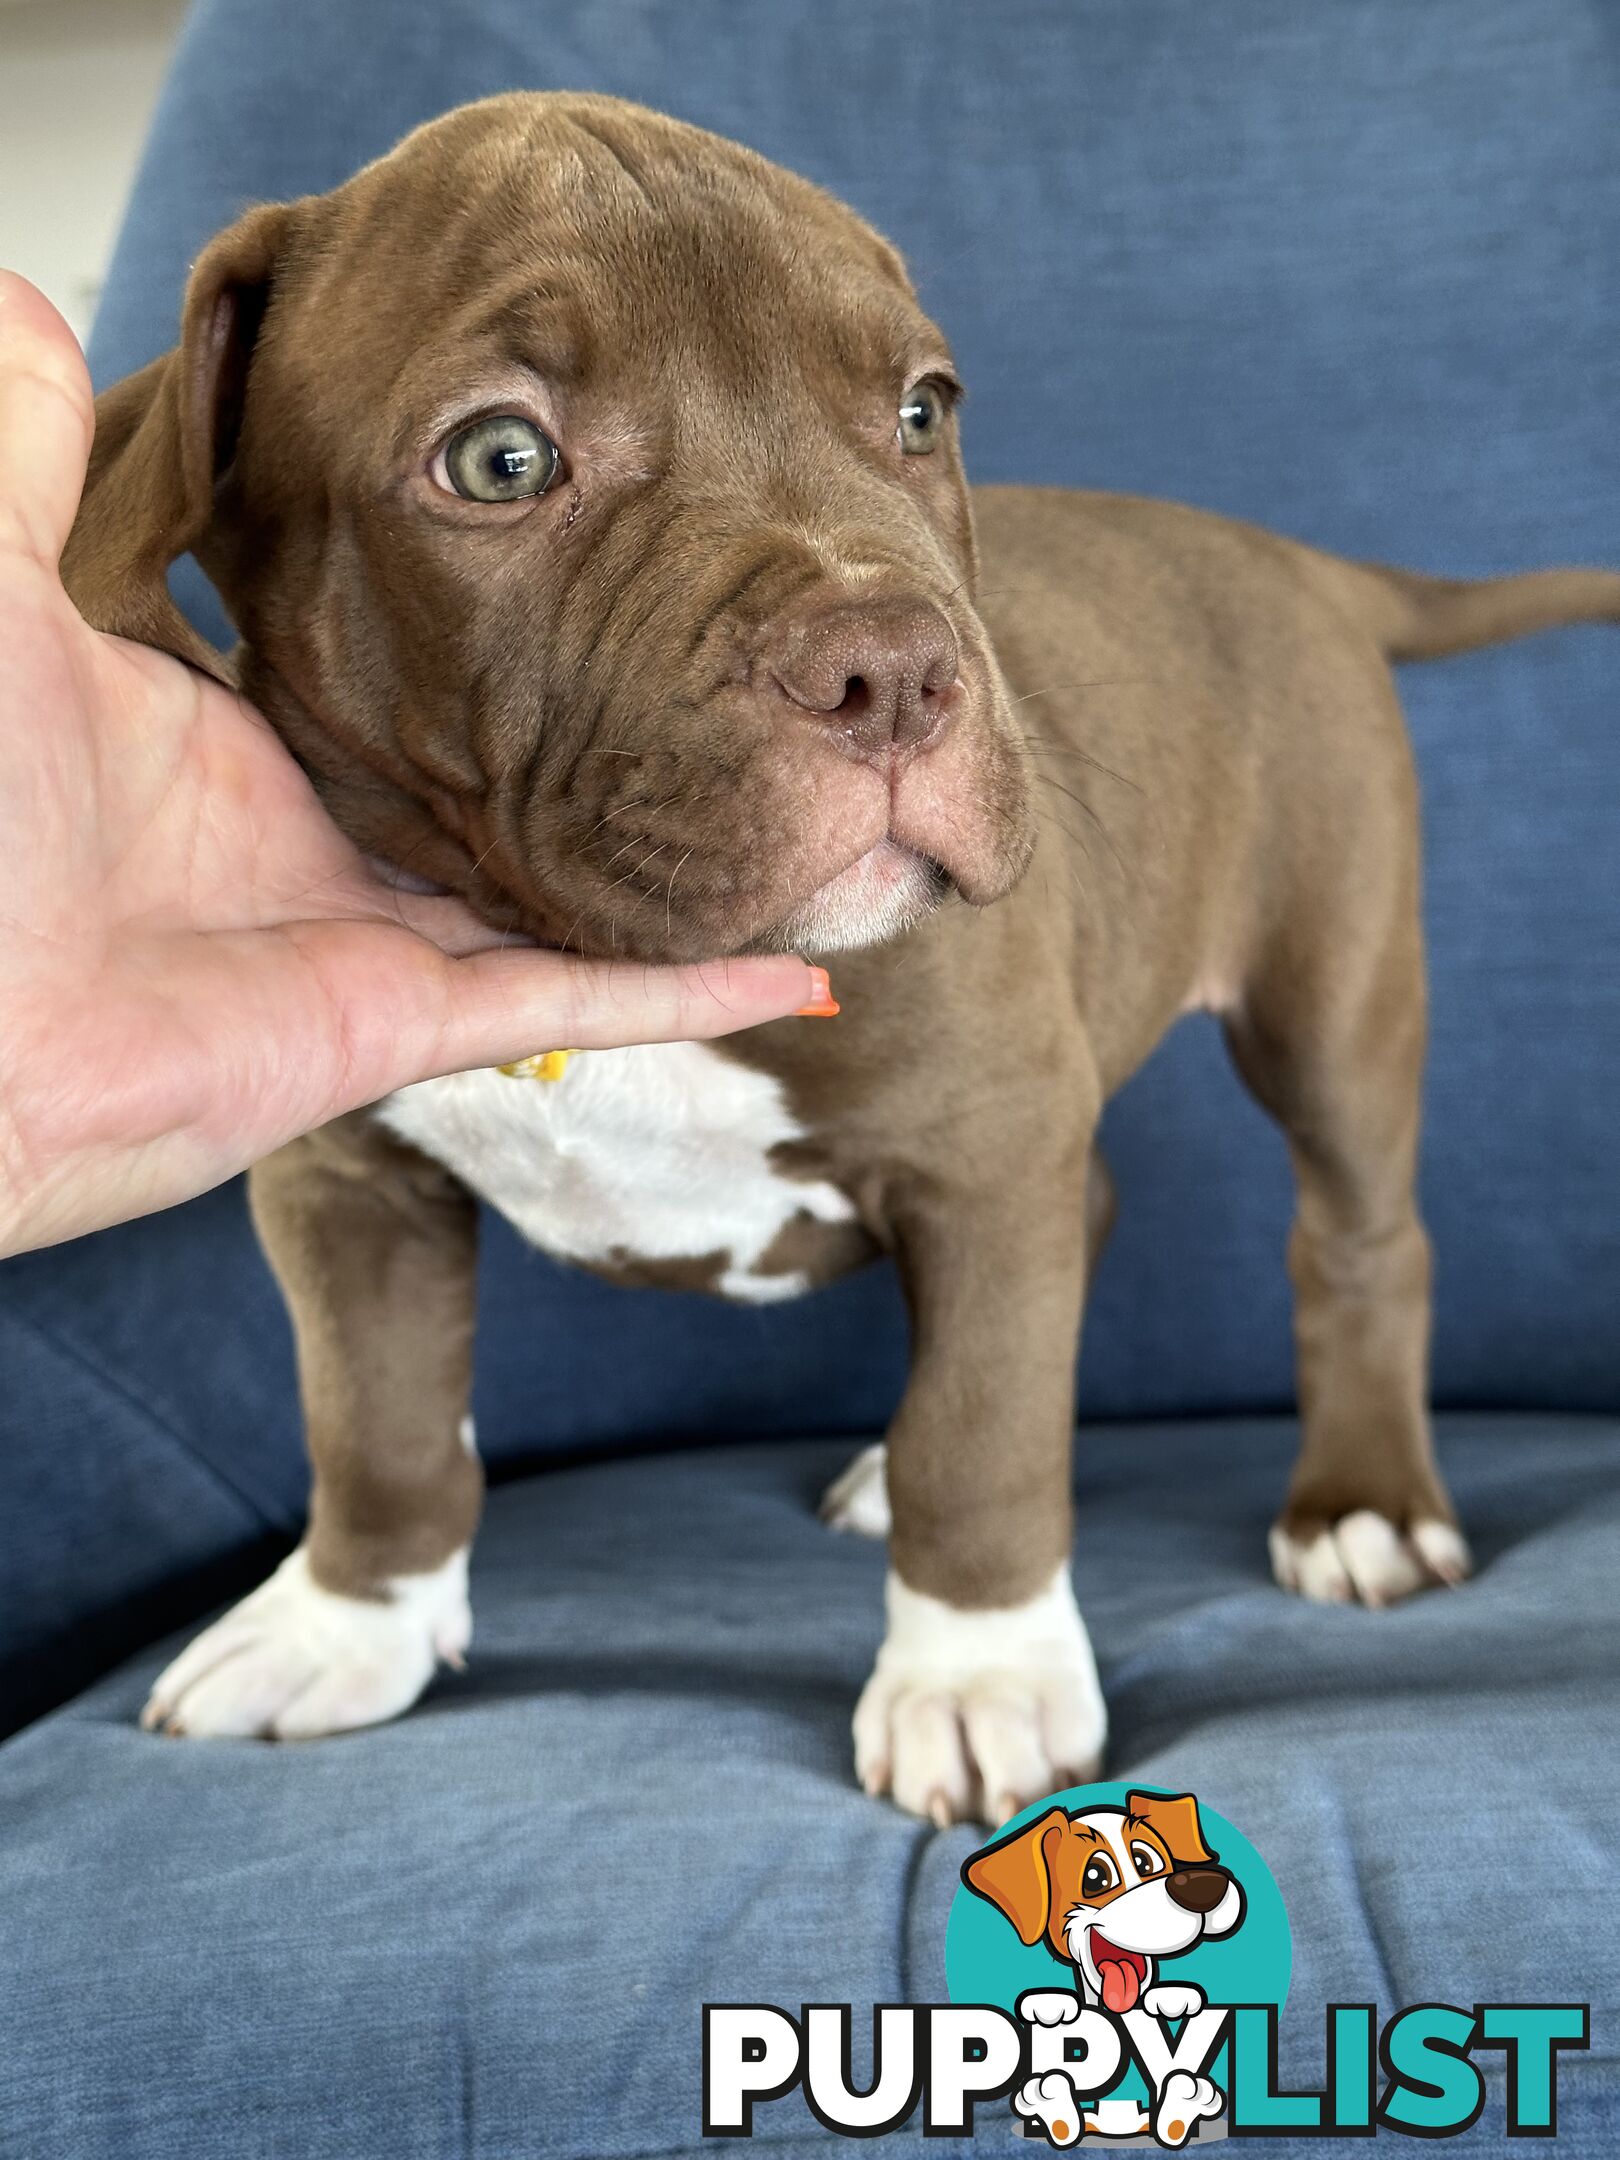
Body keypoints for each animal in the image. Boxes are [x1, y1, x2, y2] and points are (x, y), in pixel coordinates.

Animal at [57, 97, 1615, 1823]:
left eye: (921, 411)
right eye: (499, 458)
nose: (900, 669)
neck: (603, 954)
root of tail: (1294, 559)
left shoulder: (983, 1140)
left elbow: (983, 1427)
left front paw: (978, 1672)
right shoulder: (346, 1186)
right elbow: (374, 1420)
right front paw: (343, 1624)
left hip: (1329, 989)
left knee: (1356, 1238)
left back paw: (1360, 1503)